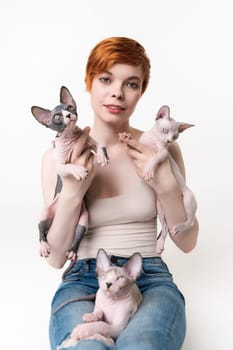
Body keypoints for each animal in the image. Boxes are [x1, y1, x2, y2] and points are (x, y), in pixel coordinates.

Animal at [30, 86, 109, 262]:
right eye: (57, 116)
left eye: (70, 107)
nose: (67, 115)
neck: (71, 137)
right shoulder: (60, 165)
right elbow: (67, 166)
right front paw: (78, 170)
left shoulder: (91, 142)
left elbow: (101, 145)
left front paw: (102, 157)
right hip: (46, 212)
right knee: (41, 231)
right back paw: (43, 245)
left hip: (84, 220)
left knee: (78, 236)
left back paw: (72, 251)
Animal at [119, 105, 198, 253]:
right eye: (165, 131)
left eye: (175, 137)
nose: (168, 141)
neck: (153, 140)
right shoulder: (138, 146)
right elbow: (131, 144)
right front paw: (126, 136)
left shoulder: (163, 153)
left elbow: (154, 158)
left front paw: (149, 170)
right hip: (160, 207)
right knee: (165, 228)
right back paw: (160, 244)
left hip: (188, 199)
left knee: (190, 222)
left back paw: (179, 227)